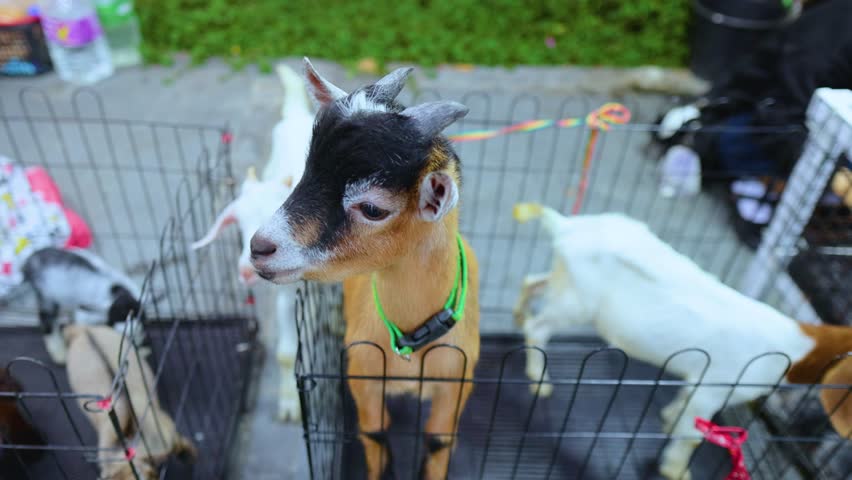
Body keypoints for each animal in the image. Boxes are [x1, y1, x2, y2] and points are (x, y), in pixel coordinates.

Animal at [250, 58, 480, 480]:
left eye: (373, 208)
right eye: (308, 171)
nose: (260, 247)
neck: (410, 343)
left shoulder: (456, 382)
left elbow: (439, 441)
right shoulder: (364, 377)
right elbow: (374, 433)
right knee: (289, 349)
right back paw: (290, 402)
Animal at [512, 203, 852, 480]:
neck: (799, 349)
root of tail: (566, 226)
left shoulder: (699, 382)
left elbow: (683, 407)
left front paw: (668, 422)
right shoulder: (714, 388)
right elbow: (692, 436)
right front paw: (676, 470)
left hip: (563, 281)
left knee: (532, 281)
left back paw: (518, 314)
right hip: (578, 302)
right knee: (539, 326)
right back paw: (538, 378)